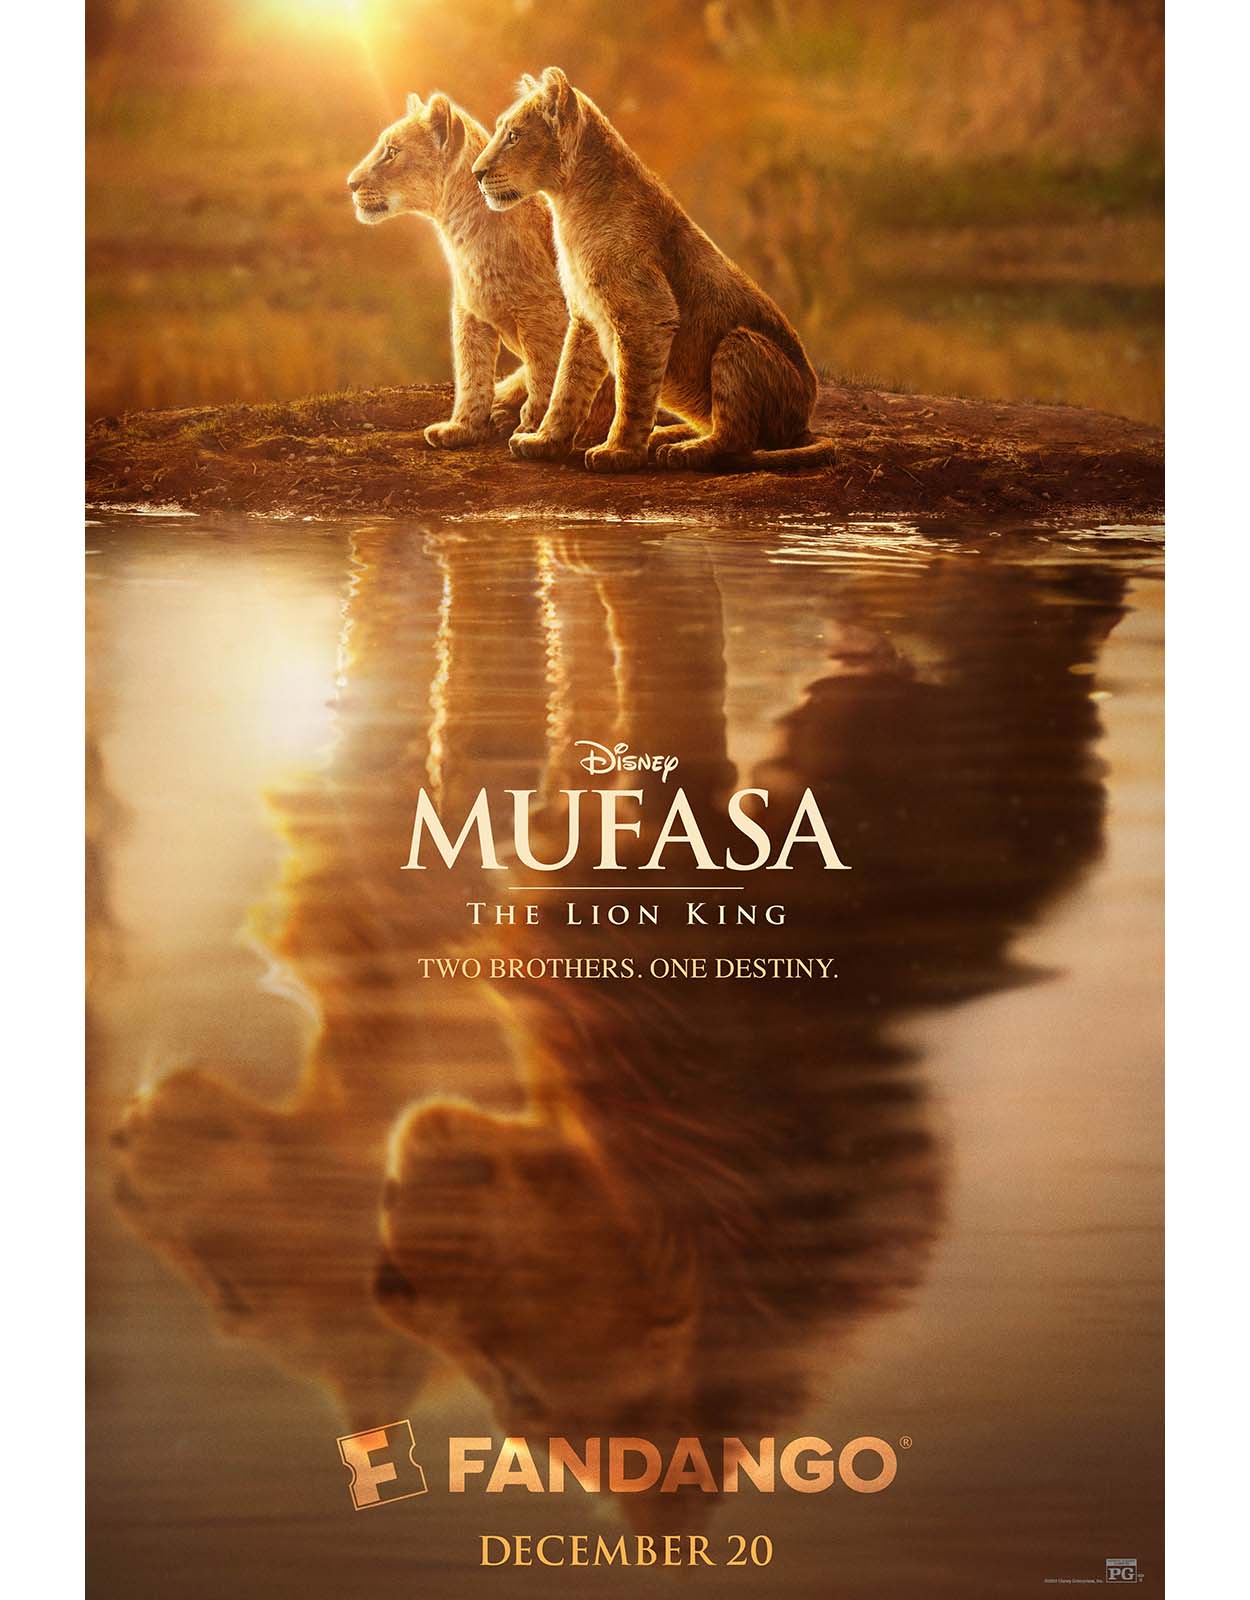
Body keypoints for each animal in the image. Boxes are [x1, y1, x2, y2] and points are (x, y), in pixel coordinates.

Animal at [348, 93, 589, 449]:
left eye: (391, 151)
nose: (350, 184)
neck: (459, 231)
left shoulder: (540, 312)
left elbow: (547, 371)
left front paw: (533, 429)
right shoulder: (469, 313)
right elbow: (471, 371)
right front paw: (462, 428)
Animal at [471, 67, 837, 473]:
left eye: (514, 136)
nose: (476, 173)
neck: (568, 206)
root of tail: (805, 419)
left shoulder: (646, 315)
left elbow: (631, 392)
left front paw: (619, 453)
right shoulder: (585, 318)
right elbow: (567, 386)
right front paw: (545, 441)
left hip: (738, 344)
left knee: (738, 439)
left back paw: (686, 450)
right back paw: (668, 435)